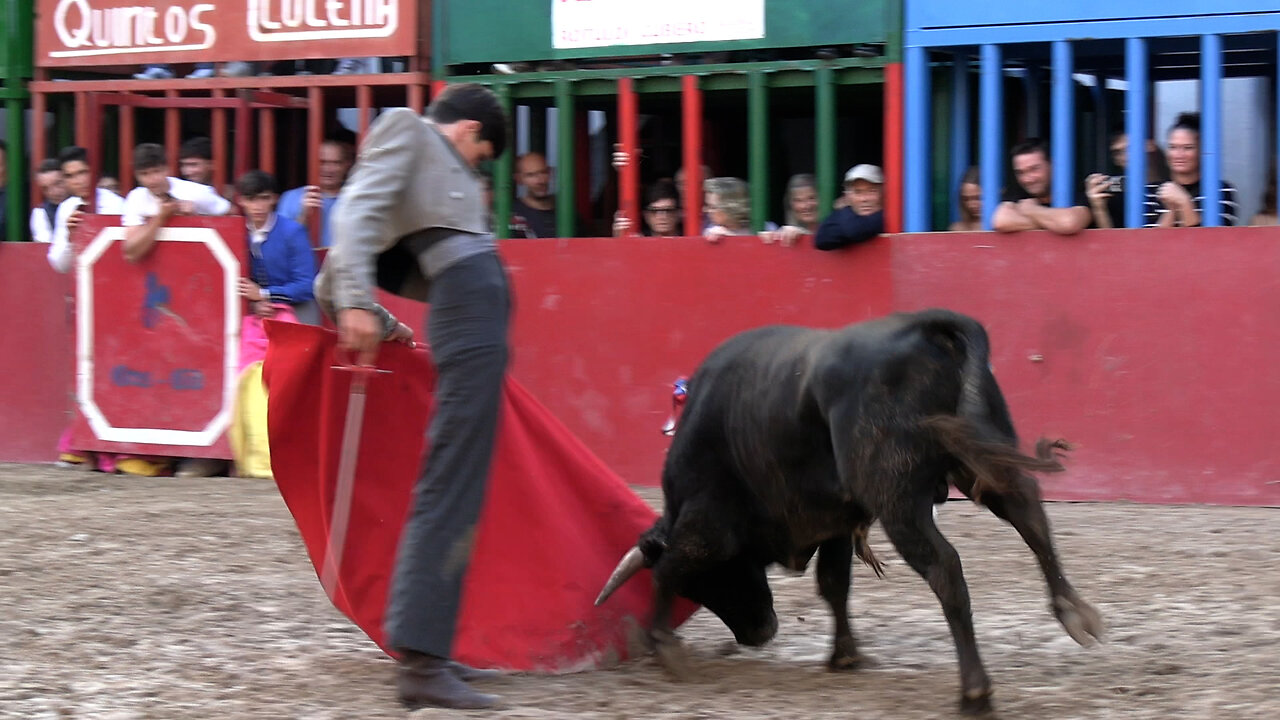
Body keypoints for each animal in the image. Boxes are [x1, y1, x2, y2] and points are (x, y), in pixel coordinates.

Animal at [593, 308, 1105, 712]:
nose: (758, 633)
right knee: (1028, 512)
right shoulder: (836, 522)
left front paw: (664, 646)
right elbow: (834, 584)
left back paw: (975, 692)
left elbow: (669, 568)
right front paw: (844, 654)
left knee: (946, 568)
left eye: (705, 585)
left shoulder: (708, 526)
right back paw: (1074, 613)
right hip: (984, 453)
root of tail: (925, 327)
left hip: (899, 500)